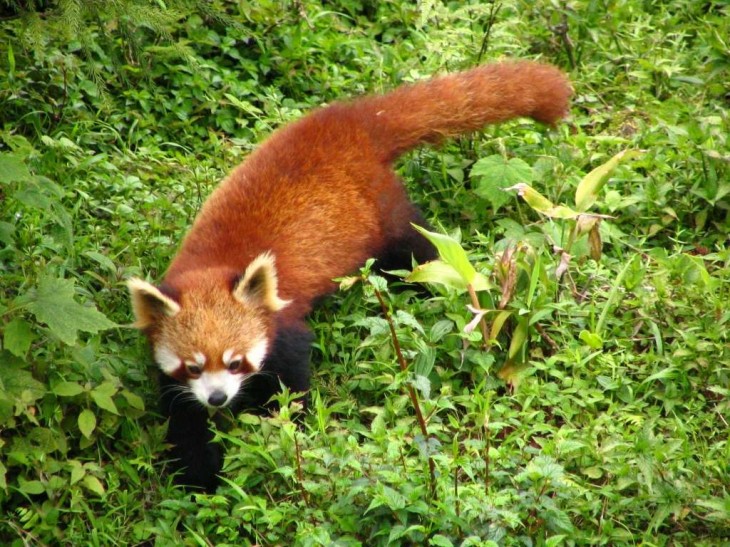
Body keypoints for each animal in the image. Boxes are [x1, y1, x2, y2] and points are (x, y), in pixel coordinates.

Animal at [126, 61, 568, 492]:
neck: (214, 267)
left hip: (384, 212)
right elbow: (183, 417)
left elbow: (291, 384)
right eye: (194, 367)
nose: (218, 398)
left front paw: (287, 433)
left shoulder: (282, 325)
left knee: (416, 251)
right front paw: (198, 477)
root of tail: (351, 120)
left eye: (236, 363)